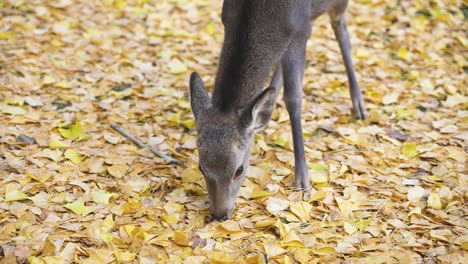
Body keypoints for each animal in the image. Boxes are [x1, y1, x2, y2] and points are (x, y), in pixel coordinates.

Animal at [188, 0, 368, 221]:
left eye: (239, 170)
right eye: (201, 167)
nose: (219, 214)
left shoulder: (301, 31)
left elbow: (294, 99)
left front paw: (303, 181)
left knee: (340, 26)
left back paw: (358, 104)